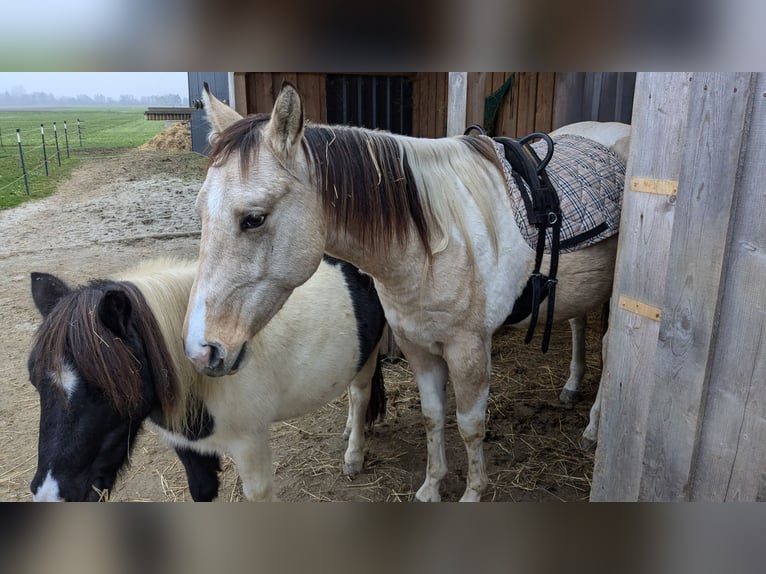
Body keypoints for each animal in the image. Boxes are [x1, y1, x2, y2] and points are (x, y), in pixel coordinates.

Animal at [27, 258, 388, 502]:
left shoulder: (250, 445)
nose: (50, 494)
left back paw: (353, 456)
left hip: (369, 354)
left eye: (108, 388)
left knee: (360, 395)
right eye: (35, 380)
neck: (205, 376)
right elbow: (201, 491)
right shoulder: (187, 447)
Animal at [184, 83, 632, 502]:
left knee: (611, 349)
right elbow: (433, 416)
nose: (202, 350)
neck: (435, 242)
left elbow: (470, 426)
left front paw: (473, 491)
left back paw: (594, 427)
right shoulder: (418, 345)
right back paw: (572, 388)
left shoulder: (469, 351)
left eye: (254, 218)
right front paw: (431, 486)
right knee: (578, 325)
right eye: (201, 210)